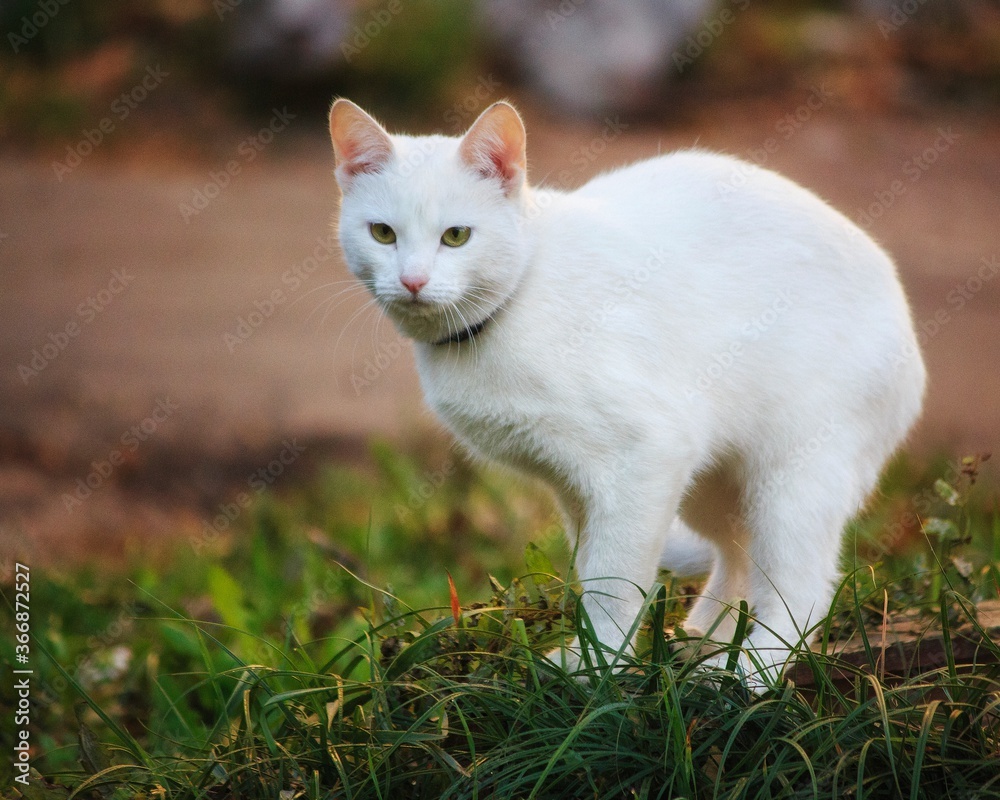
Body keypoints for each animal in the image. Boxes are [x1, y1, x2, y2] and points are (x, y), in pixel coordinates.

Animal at [330, 98, 928, 688]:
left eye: (456, 236)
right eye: (382, 233)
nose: (412, 281)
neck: (509, 308)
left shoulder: (644, 457)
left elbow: (614, 583)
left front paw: (599, 669)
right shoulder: (579, 487)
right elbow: (594, 570)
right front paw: (591, 659)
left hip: (792, 477)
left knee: (800, 590)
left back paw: (745, 673)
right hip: (714, 480)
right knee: (737, 561)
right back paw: (697, 645)